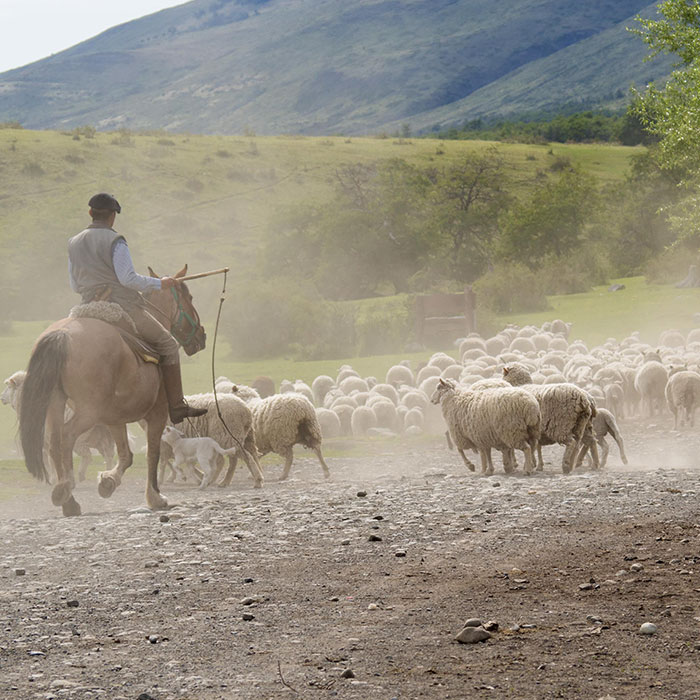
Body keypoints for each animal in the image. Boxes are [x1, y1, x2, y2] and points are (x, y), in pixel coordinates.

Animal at [19, 266, 205, 516]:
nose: (202, 337)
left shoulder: (115, 419)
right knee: (66, 436)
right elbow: (152, 453)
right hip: (88, 411)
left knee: (53, 442)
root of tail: (63, 335)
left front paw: (108, 482)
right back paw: (65, 489)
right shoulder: (156, 415)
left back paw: (70, 501)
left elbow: (126, 455)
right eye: (189, 297)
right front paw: (155, 497)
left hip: (55, 403)